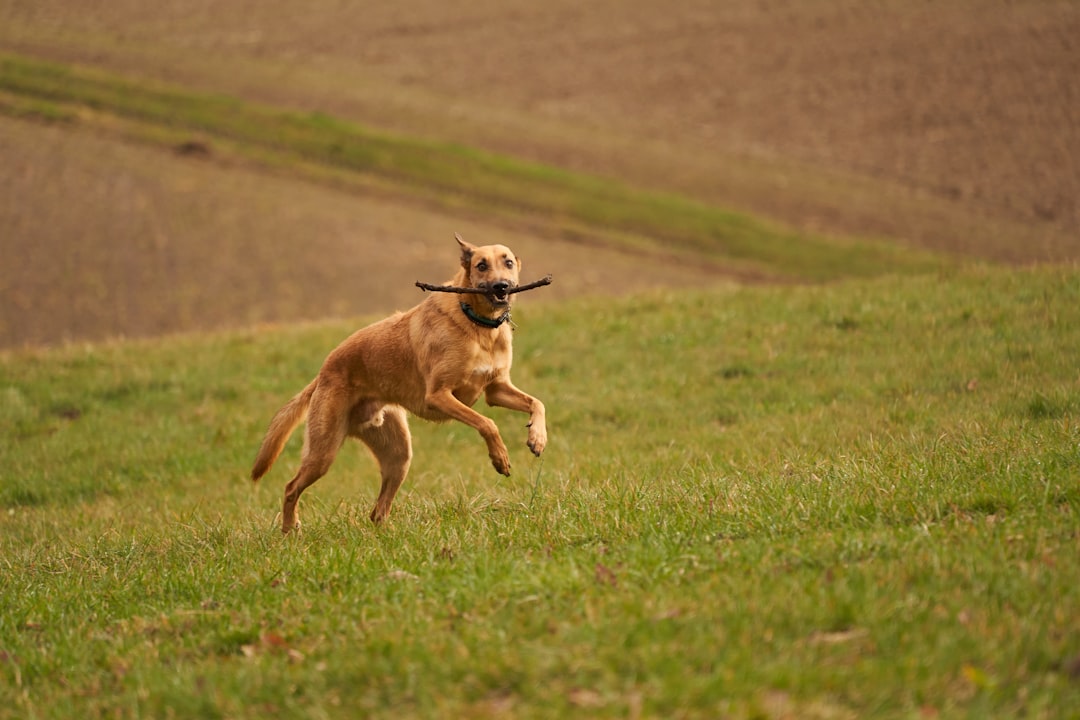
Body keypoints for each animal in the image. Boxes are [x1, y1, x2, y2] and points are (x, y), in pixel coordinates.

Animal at [252, 234, 548, 533]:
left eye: (508, 263)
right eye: (481, 265)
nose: (502, 286)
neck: (479, 325)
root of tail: (323, 372)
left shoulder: (496, 389)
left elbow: (537, 403)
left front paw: (537, 437)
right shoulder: (439, 395)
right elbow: (487, 423)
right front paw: (500, 457)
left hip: (398, 455)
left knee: (378, 511)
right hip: (323, 451)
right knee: (291, 487)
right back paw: (289, 529)